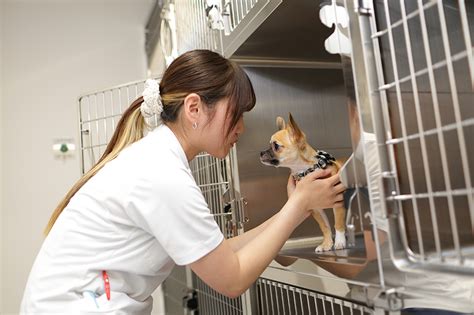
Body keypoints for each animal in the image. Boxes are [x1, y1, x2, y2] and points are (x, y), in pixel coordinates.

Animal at [262, 113, 346, 254]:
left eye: (276, 146)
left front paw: (340, 242)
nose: (261, 153)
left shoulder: (338, 203)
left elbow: (338, 223)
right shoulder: (316, 209)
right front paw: (327, 244)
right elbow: (325, 227)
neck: (307, 170)